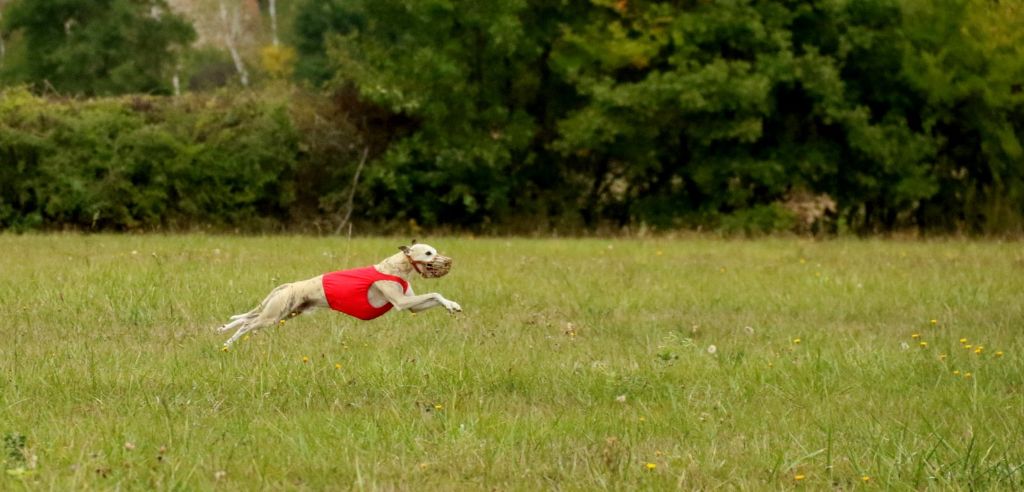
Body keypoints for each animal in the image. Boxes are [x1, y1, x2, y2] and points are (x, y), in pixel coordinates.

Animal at [218, 239, 462, 348]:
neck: (396, 268)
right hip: (273, 315)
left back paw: (224, 331)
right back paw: (228, 343)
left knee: (247, 319)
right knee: (248, 324)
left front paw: (452, 305)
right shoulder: (401, 302)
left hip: (286, 313)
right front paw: (451, 304)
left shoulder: (412, 305)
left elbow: (435, 297)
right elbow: (434, 292)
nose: (447, 261)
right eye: (428, 253)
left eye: (435, 250)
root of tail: (288, 286)